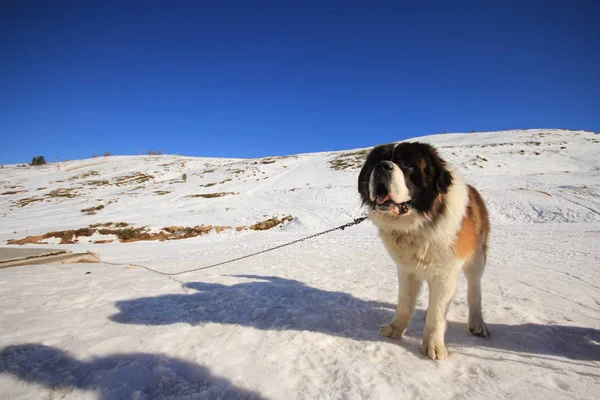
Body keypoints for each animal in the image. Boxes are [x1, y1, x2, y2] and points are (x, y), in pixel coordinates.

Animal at [358, 141, 490, 360]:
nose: (382, 166)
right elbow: (405, 302)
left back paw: (477, 323)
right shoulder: (406, 270)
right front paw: (395, 330)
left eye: (406, 165)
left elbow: (438, 312)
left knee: (474, 290)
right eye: (376, 162)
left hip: (477, 257)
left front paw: (433, 346)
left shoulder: (446, 272)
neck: (418, 223)